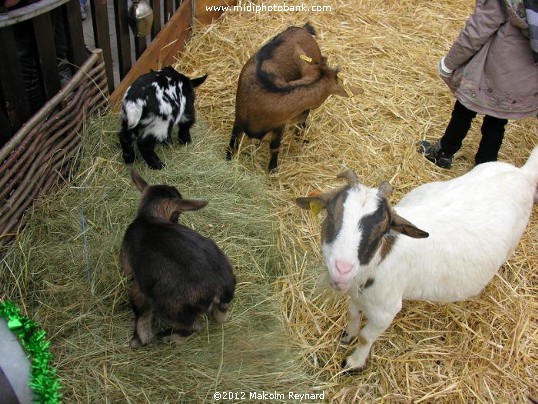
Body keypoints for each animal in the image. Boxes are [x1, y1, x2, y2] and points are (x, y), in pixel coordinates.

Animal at [120, 170, 236, 348]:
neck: (149, 217)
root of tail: (221, 286)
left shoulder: (138, 284)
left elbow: (141, 315)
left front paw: (138, 340)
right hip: (220, 305)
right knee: (220, 317)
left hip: (172, 307)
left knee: (193, 326)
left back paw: (167, 337)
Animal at [298, 147, 536, 370]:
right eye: (331, 215)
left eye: (382, 231)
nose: (342, 268)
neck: (378, 261)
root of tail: (522, 173)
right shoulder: (357, 296)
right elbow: (353, 315)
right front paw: (347, 336)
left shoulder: (385, 311)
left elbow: (366, 337)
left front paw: (353, 363)